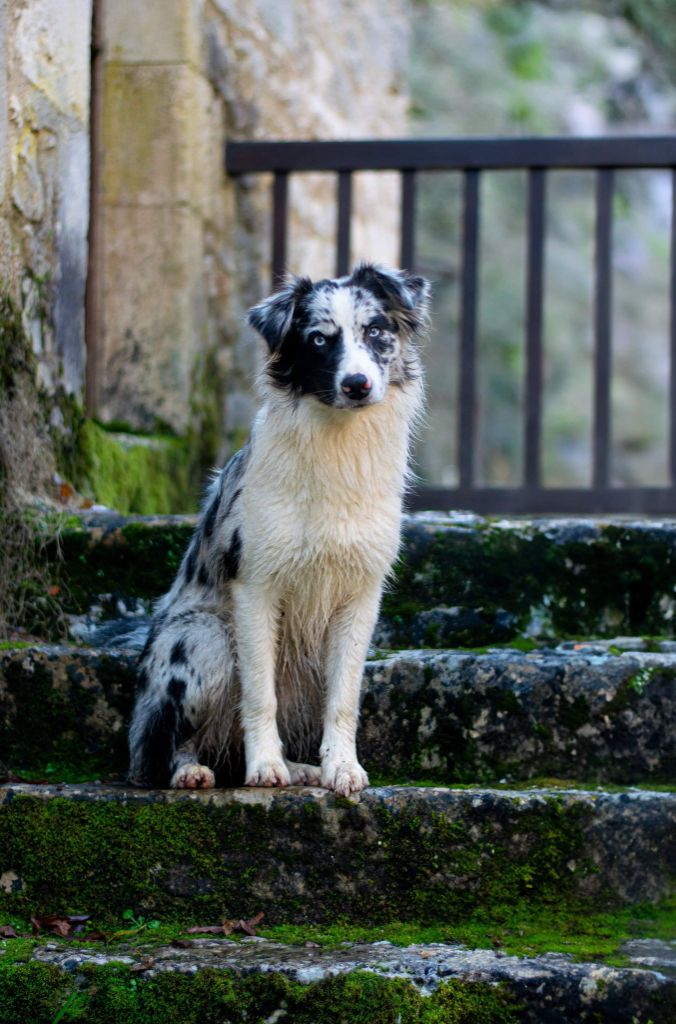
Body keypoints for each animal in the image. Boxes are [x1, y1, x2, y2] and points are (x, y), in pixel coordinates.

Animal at [129, 262, 430, 790]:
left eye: (375, 331)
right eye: (318, 340)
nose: (357, 384)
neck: (337, 446)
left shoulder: (360, 594)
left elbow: (344, 699)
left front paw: (340, 767)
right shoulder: (255, 584)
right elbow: (258, 693)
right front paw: (265, 765)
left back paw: (302, 768)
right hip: (202, 641)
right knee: (165, 744)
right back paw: (192, 771)